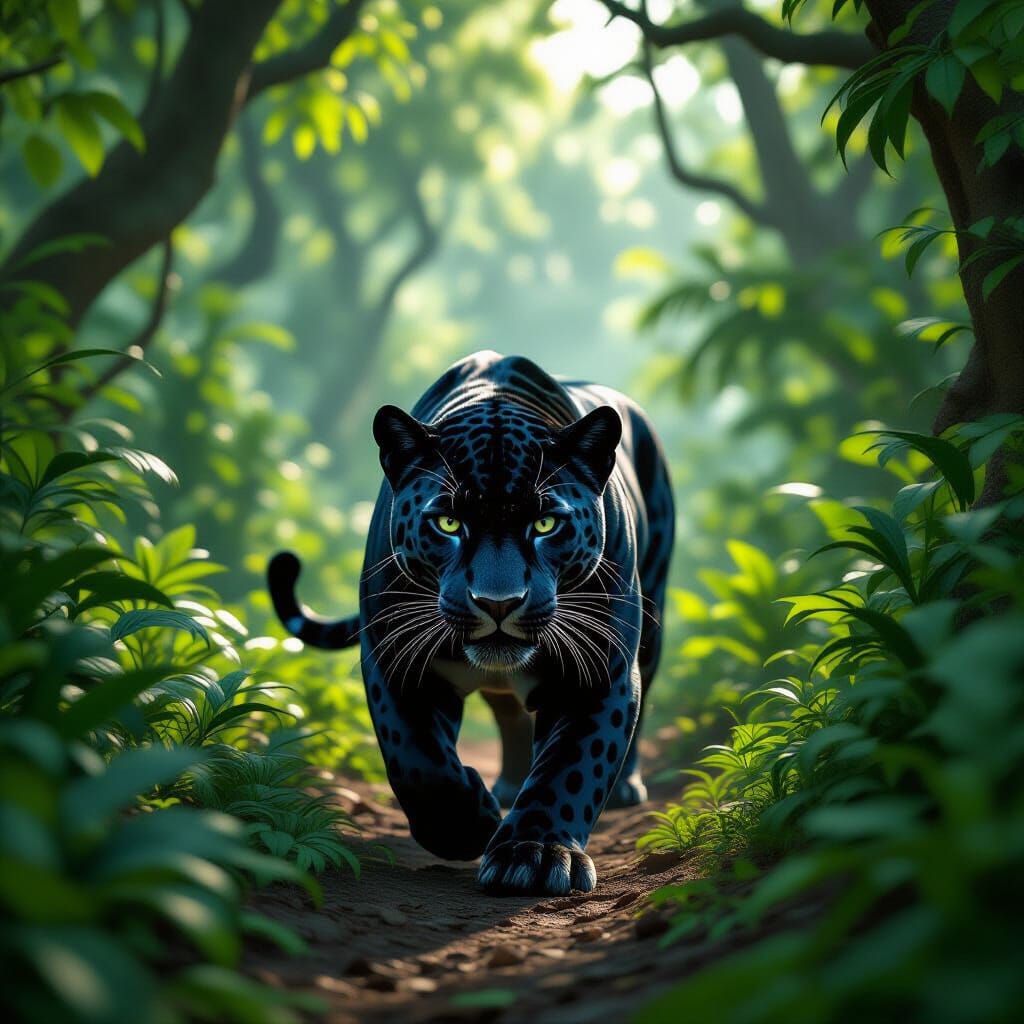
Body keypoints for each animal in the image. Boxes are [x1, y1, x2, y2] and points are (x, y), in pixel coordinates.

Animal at [268, 350, 674, 896]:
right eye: (448, 523)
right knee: (509, 716)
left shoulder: (596, 669)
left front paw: (535, 854)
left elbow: (572, 765)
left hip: (651, 623)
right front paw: (469, 825)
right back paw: (505, 787)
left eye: (545, 523)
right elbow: (417, 761)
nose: (498, 603)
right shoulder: (393, 659)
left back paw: (625, 786)